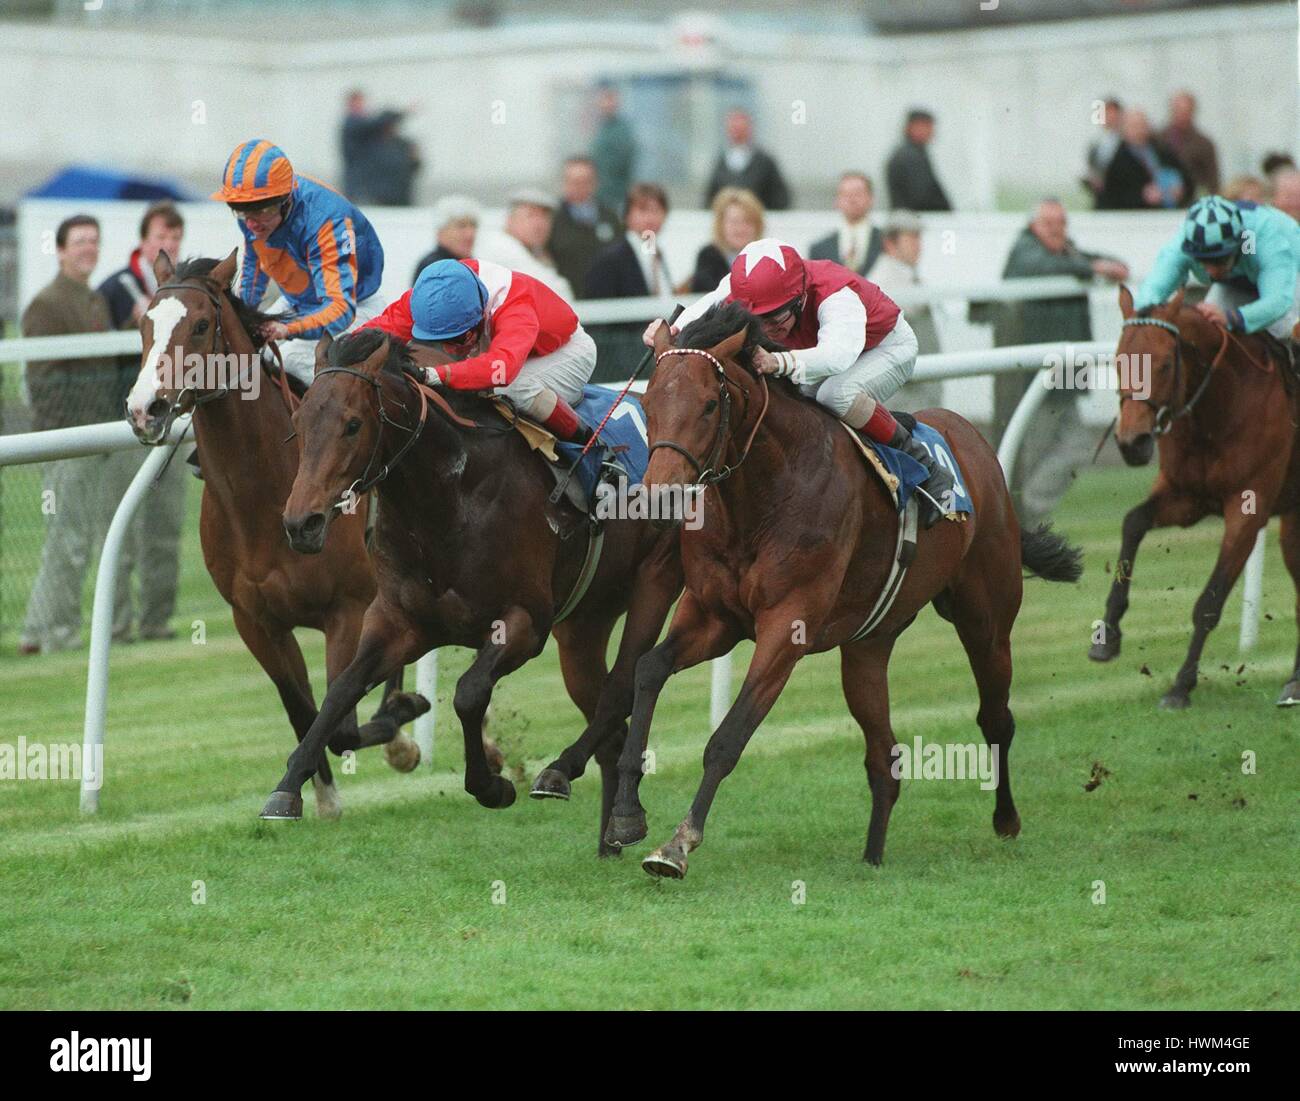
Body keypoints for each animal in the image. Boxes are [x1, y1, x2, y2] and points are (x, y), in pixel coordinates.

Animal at [126, 253, 423, 816]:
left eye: (201, 325)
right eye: (144, 324)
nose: (144, 409)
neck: (264, 498)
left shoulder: (347, 610)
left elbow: (341, 720)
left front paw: (399, 727)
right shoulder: (255, 621)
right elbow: (302, 710)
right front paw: (315, 797)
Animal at [608, 305, 1086, 883]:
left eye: (707, 404)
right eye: (649, 403)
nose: (659, 496)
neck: (762, 496)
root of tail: (974, 440)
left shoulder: (786, 628)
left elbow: (727, 737)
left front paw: (677, 845)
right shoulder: (713, 617)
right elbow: (649, 669)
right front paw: (626, 816)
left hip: (986, 619)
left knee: (996, 717)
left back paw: (1006, 819)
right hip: (867, 647)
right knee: (885, 757)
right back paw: (873, 856)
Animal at [1086, 288, 1300, 712]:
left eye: (1166, 364)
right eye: (1118, 360)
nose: (1132, 443)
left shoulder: (1248, 511)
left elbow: (1209, 603)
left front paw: (1181, 686)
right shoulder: (1187, 497)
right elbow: (1133, 522)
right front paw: (1108, 634)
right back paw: (1294, 682)